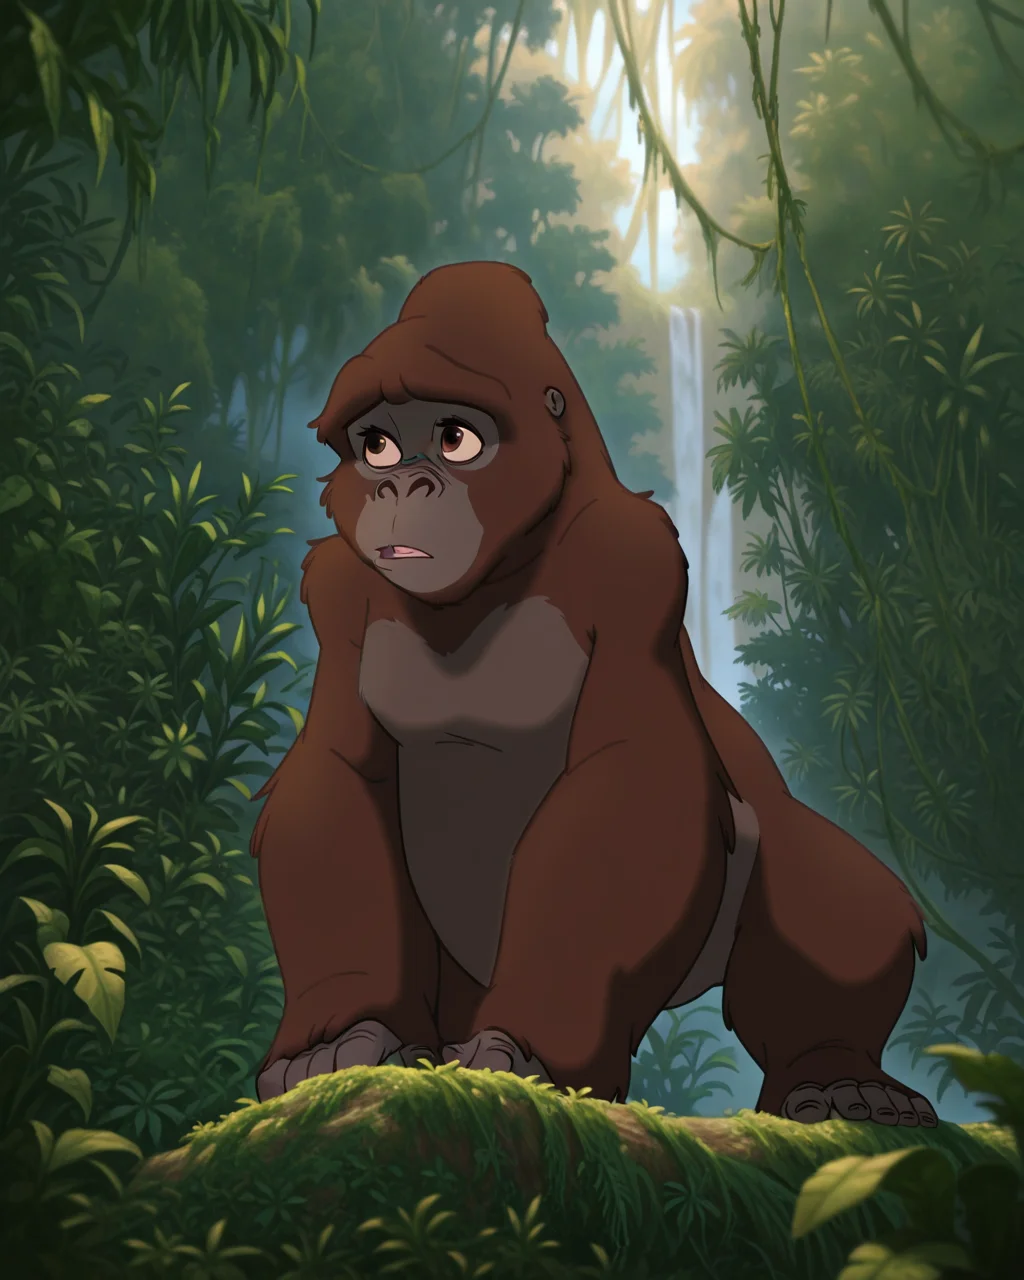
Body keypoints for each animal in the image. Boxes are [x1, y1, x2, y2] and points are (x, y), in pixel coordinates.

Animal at [249, 260, 937, 1128]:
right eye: (375, 444)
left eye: (454, 438)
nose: (402, 484)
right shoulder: (339, 589)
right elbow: (337, 779)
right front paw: (339, 1037)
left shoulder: (631, 561)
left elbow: (632, 778)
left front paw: (526, 1051)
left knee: (827, 882)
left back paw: (839, 1076)